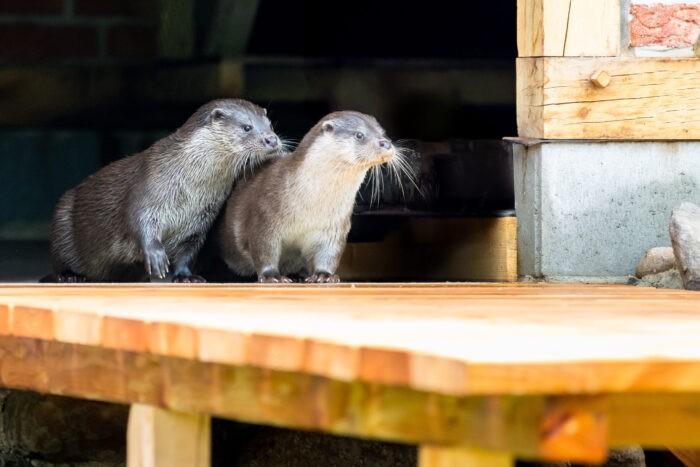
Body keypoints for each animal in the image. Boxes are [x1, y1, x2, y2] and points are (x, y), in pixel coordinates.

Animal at [50, 99, 281, 283]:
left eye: (270, 124)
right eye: (246, 127)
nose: (272, 139)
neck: (192, 190)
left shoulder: (199, 222)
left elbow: (188, 253)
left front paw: (186, 276)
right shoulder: (149, 187)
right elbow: (138, 220)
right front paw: (156, 256)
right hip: (63, 219)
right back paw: (69, 275)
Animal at [216, 111, 396, 283]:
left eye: (383, 133)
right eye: (359, 134)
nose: (386, 143)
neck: (310, 207)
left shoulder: (335, 226)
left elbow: (329, 252)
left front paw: (324, 275)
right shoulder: (263, 217)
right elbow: (264, 249)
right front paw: (272, 276)